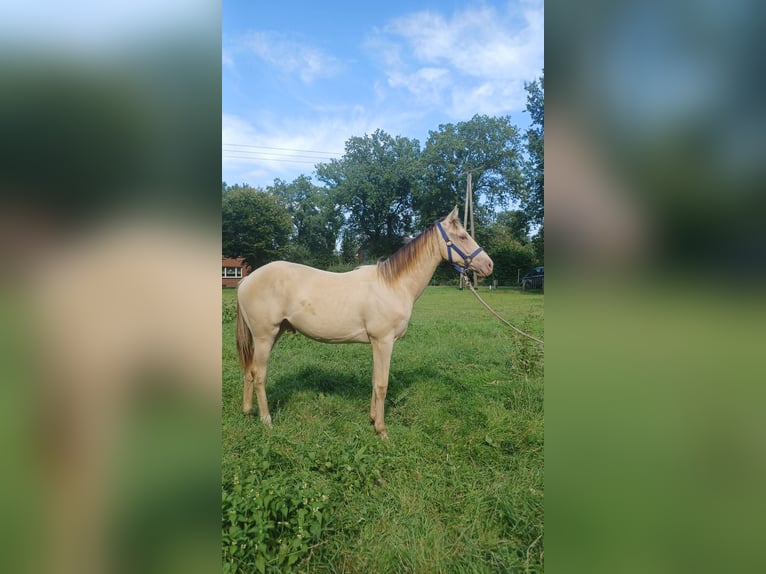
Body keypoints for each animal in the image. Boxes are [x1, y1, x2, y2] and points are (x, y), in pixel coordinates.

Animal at [237, 209, 496, 438]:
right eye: (462, 237)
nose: (489, 265)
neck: (393, 285)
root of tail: (246, 280)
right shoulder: (384, 341)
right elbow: (382, 384)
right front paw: (381, 430)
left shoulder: (375, 343)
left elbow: (374, 380)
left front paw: (372, 419)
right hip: (265, 337)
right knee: (260, 376)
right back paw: (267, 420)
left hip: (273, 334)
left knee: (250, 371)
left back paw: (248, 411)